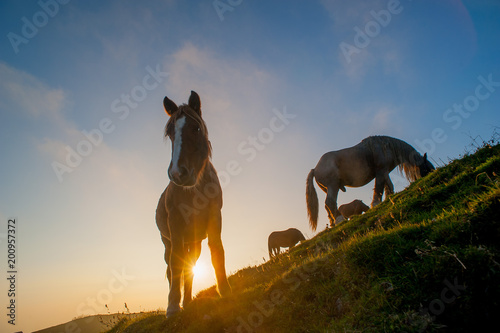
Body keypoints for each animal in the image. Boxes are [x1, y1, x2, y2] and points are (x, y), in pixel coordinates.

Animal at [155, 90, 231, 316]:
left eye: (196, 128)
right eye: (170, 133)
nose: (178, 174)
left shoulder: (215, 215)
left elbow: (217, 250)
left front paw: (225, 290)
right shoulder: (175, 225)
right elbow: (175, 264)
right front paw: (172, 306)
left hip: (194, 241)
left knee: (190, 264)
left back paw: (188, 300)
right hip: (168, 241)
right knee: (172, 268)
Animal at [304, 135, 434, 228]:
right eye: (427, 167)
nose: (431, 174)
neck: (385, 147)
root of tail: (315, 168)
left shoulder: (385, 172)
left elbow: (389, 186)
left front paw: (390, 198)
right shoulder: (380, 172)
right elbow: (379, 188)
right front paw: (376, 204)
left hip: (329, 188)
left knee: (329, 206)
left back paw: (333, 222)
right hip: (333, 186)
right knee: (330, 203)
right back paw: (340, 220)